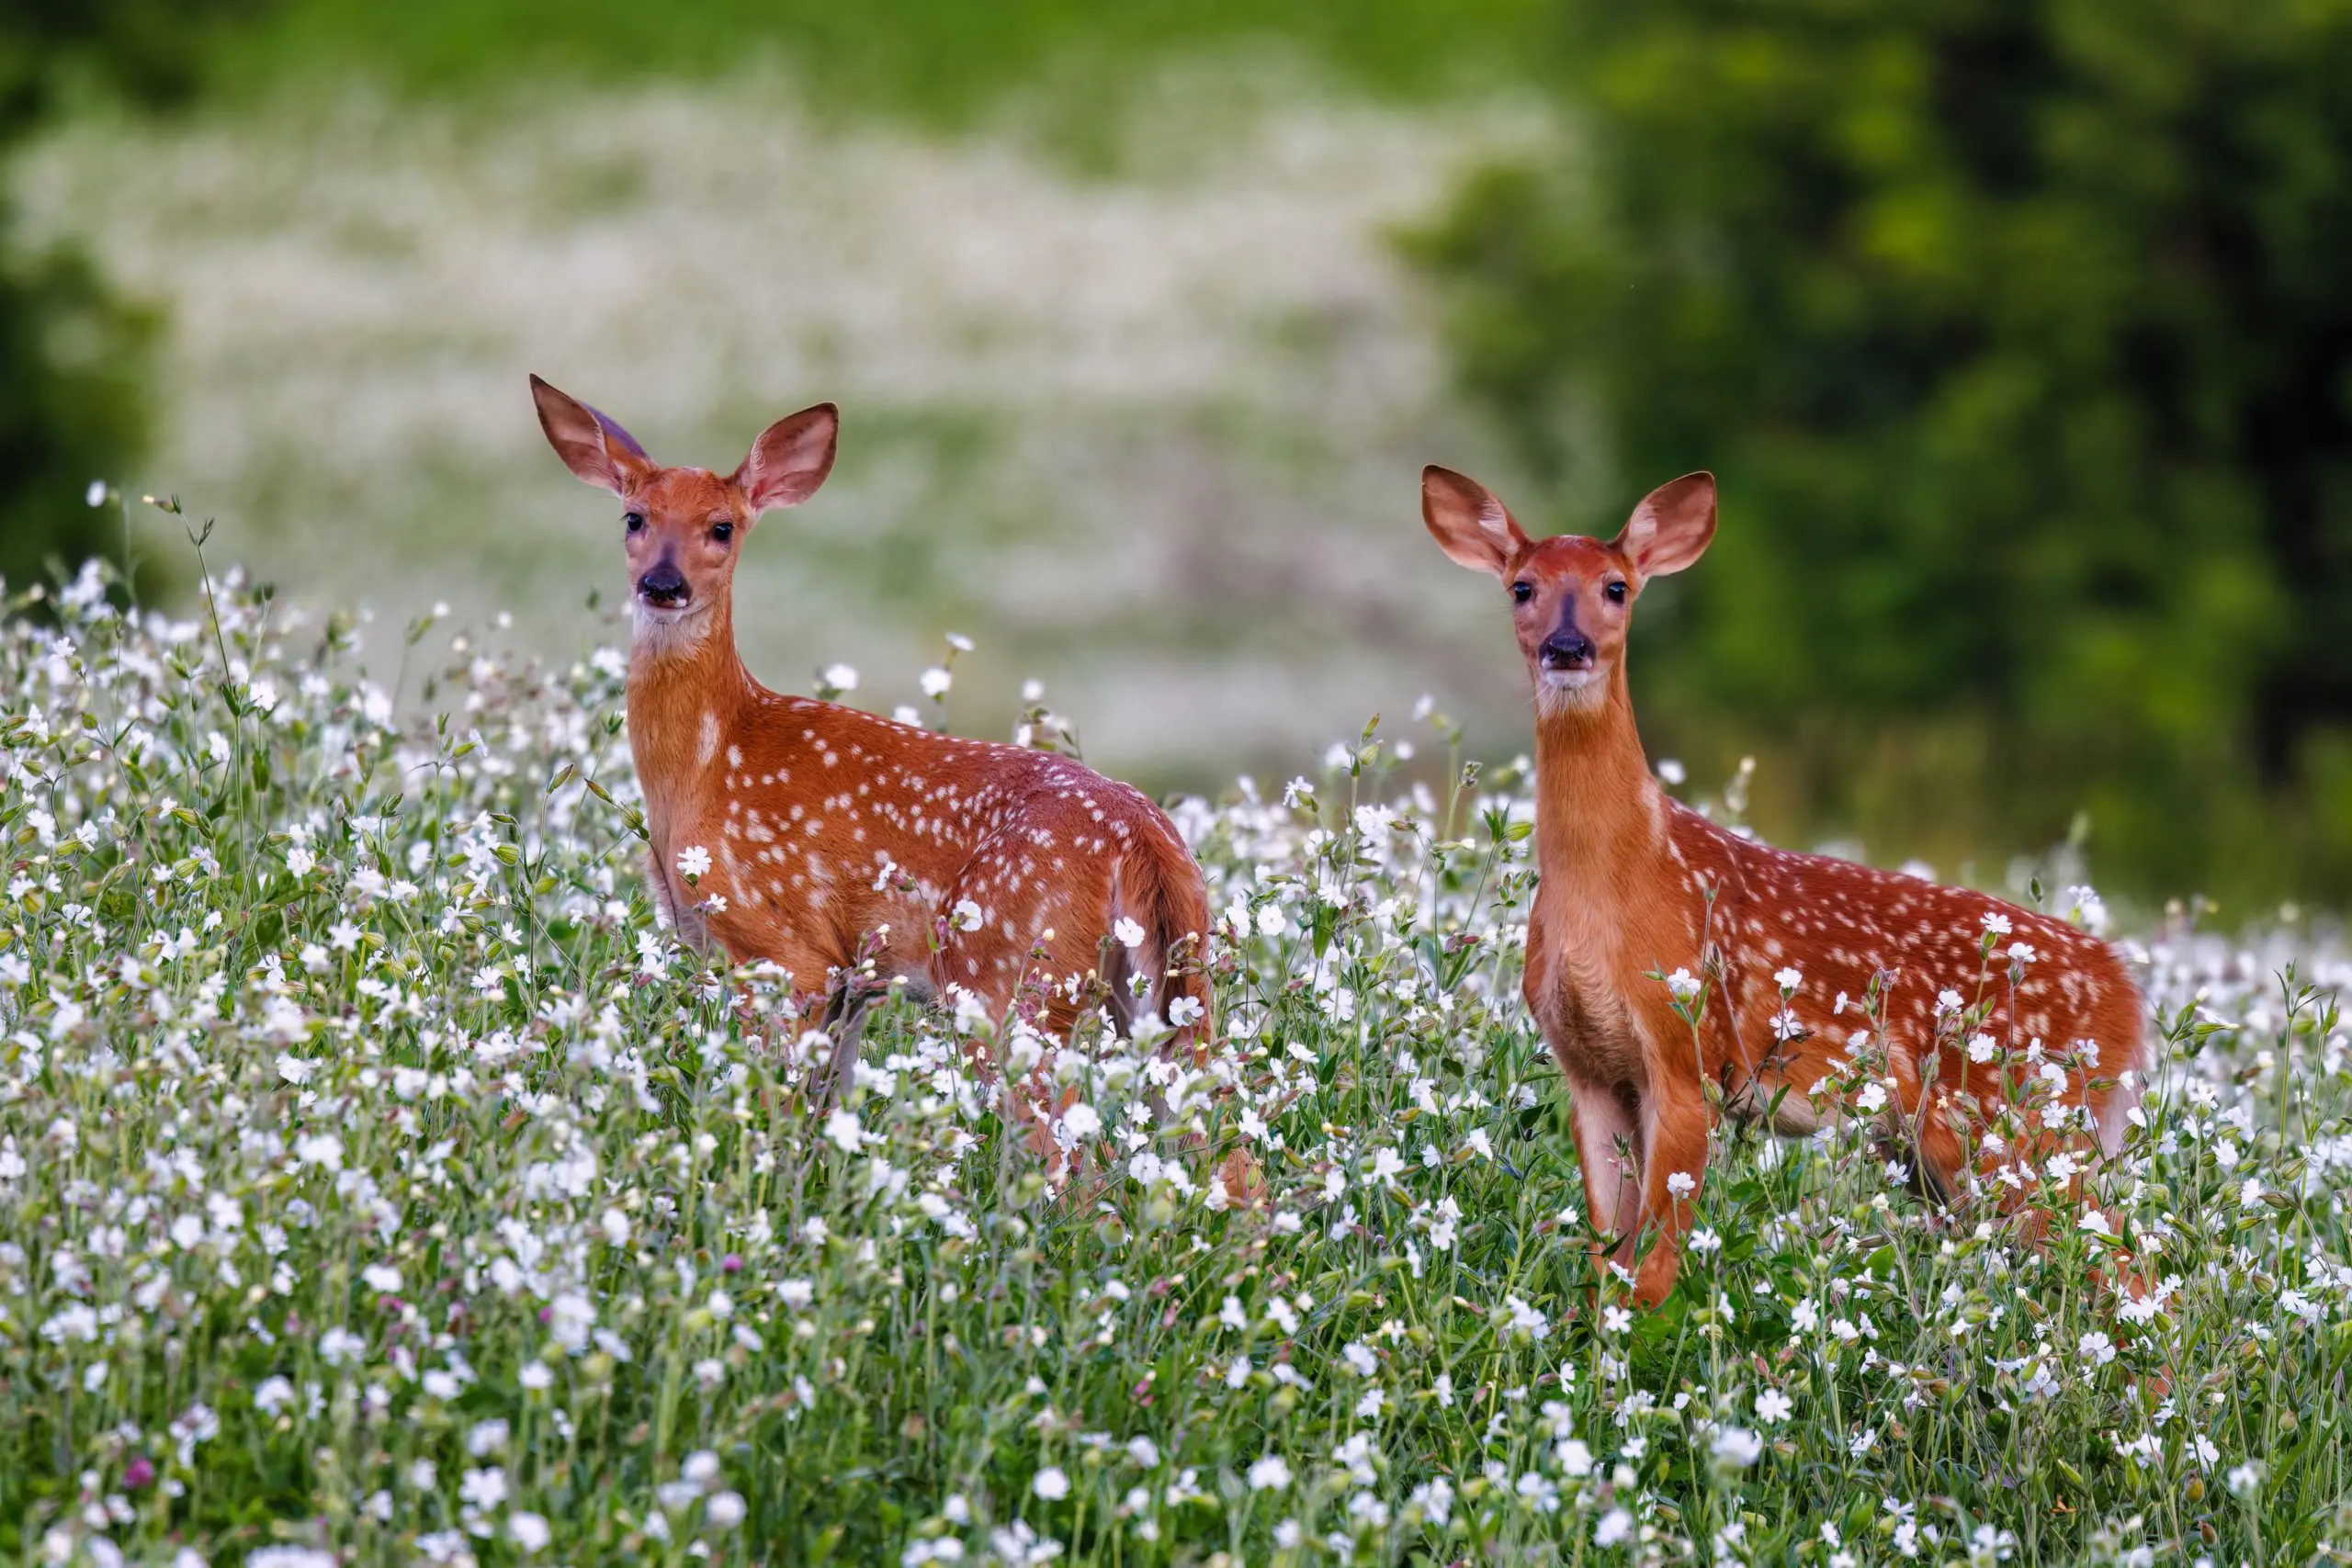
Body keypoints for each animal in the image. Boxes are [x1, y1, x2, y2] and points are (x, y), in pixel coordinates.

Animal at [530, 375, 1214, 1113]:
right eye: (633, 518)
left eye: (722, 526)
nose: (663, 584)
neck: (707, 765)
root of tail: (1140, 835)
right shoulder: (854, 976)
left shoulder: (787, 950)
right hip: (1161, 983)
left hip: (1007, 970)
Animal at [1421, 465, 2147, 1308]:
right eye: (1522, 587)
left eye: (1615, 587)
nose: (1567, 647)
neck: (1622, 880)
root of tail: (2128, 993)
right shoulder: (1591, 1071)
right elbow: (1608, 1260)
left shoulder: (1689, 1052)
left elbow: (1654, 1271)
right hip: (1945, 1151)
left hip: (2017, 1121)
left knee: (2130, 1266)